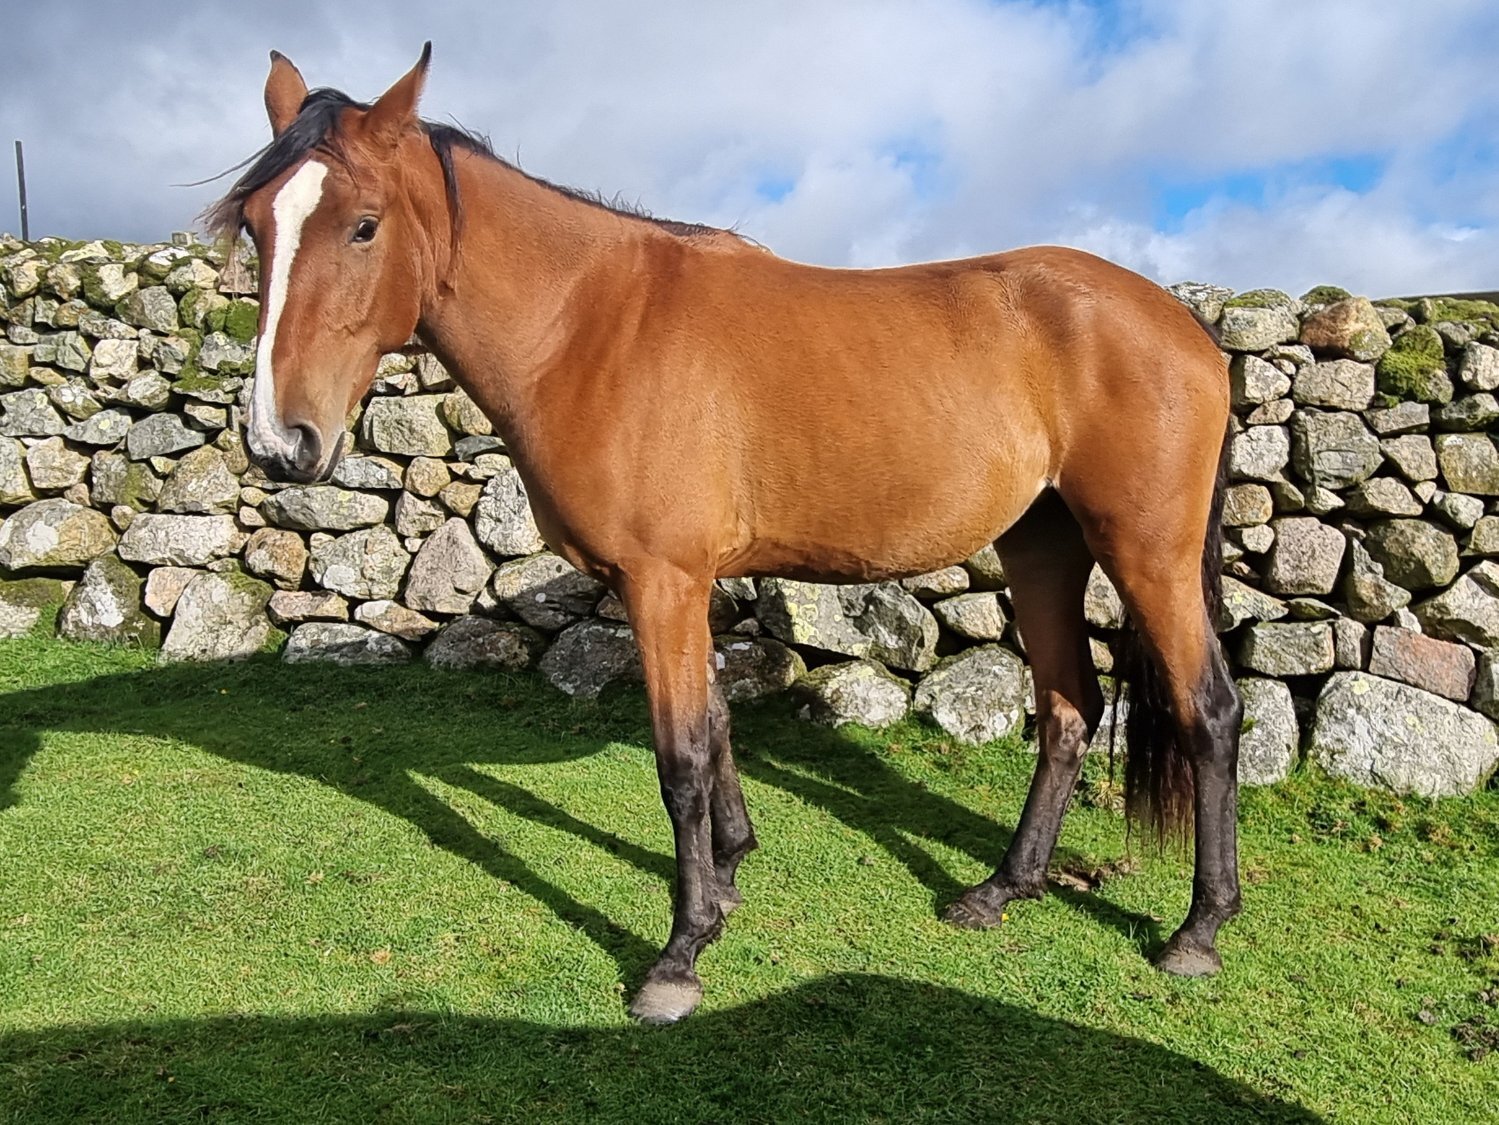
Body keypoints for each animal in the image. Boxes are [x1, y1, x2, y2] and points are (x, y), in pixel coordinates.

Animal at [211, 44, 1241, 1024]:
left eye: (364, 224)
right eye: (258, 224)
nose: (279, 441)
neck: (590, 325)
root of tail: (1181, 324)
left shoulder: (660, 579)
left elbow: (679, 759)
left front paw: (680, 952)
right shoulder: (682, 582)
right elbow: (712, 727)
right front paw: (732, 874)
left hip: (1145, 552)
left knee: (1210, 711)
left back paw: (1198, 928)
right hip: (1041, 546)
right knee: (1068, 708)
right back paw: (1000, 889)